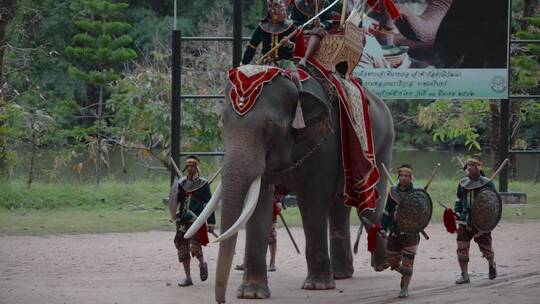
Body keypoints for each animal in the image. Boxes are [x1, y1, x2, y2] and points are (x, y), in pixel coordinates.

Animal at [188, 67, 394, 304]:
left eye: (269, 126)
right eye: (222, 124)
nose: (221, 300)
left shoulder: (323, 143)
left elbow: (312, 201)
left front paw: (317, 286)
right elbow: (259, 205)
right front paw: (252, 294)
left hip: (382, 145)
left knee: (368, 208)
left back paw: (380, 264)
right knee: (340, 208)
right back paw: (342, 274)